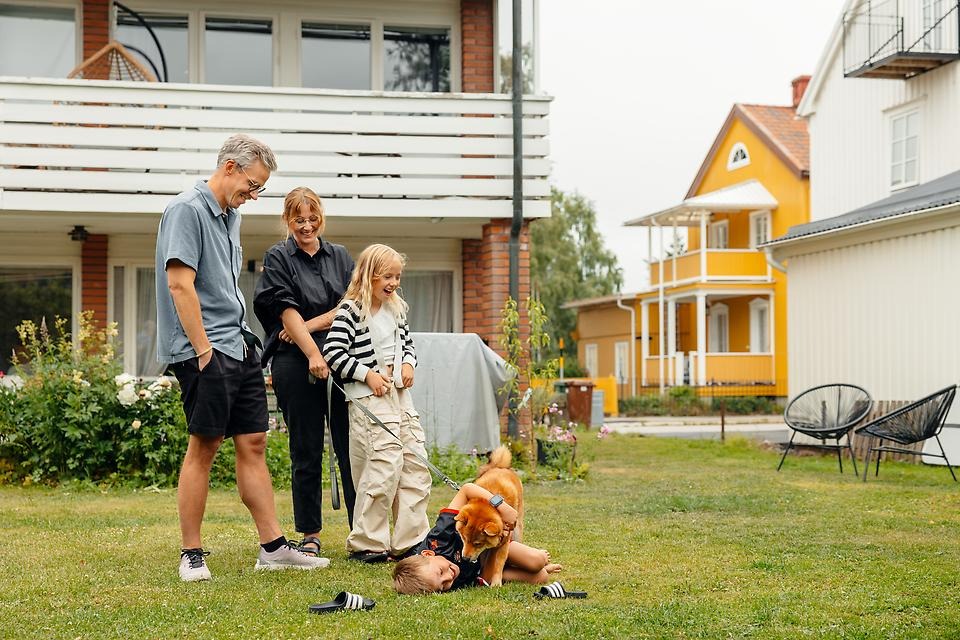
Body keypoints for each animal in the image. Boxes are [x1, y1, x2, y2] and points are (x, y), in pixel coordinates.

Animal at [452, 444, 520, 584]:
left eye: (477, 544)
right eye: (464, 539)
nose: (465, 558)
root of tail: (499, 467)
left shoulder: (504, 543)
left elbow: (498, 563)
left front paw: (496, 583)